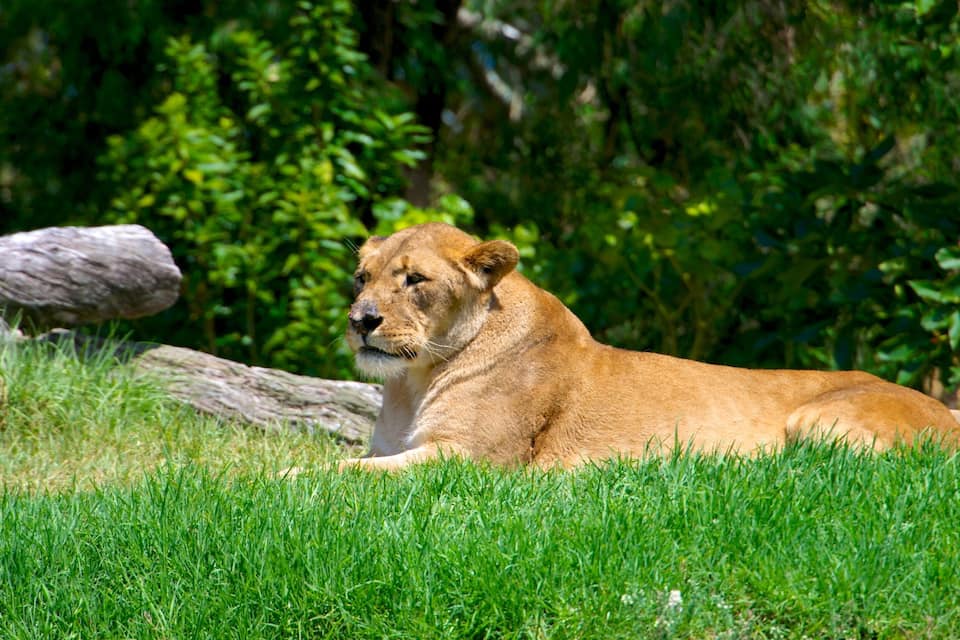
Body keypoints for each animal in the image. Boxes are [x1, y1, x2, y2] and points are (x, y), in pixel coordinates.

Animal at [341, 222, 959, 471]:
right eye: (361, 278)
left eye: (414, 280)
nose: (360, 320)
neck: (414, 381)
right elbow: (350, 463)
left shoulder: (468, 461)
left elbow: (343, 474)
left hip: (818, 421)